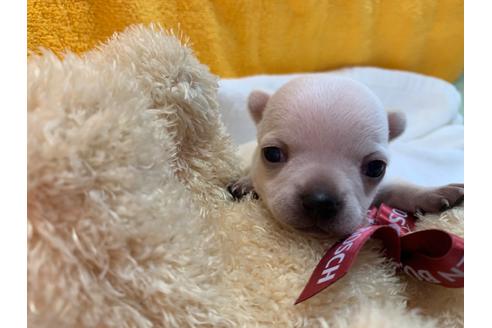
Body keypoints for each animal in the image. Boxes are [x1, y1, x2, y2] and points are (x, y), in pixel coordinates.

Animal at [229, 76, 464, 236]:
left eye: (376, 168)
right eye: (272, 154)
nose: (320, 201)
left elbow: (399, 188)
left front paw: (431, 193)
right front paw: (247, 183)